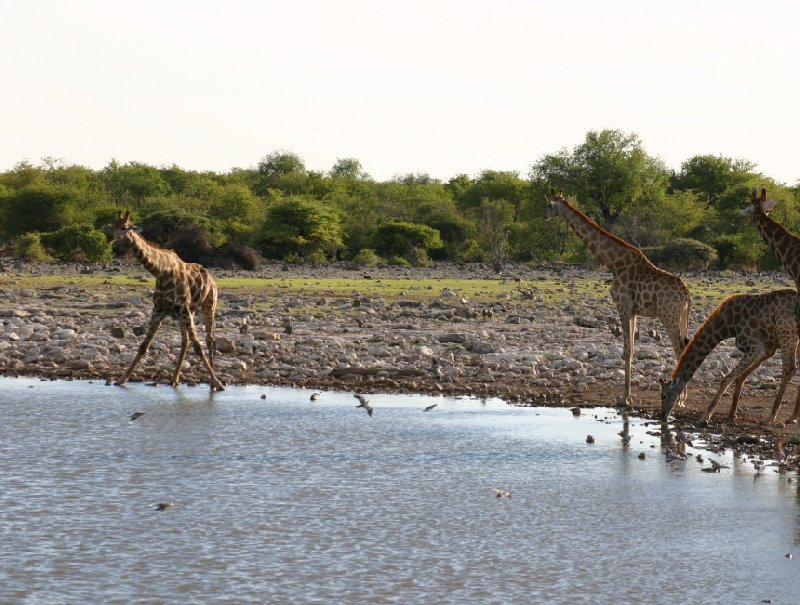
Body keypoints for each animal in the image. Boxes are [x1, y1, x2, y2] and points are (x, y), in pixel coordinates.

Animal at [109, 212, 225, 392]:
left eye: (124, 227)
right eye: (112, 225)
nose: (109, 238)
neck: (161, 272)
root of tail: (211, 279)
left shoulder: (182, 311)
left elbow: (198, 347)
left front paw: (218, 383)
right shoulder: (159, 311)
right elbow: (144, 346)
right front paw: (122, 379)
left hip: (207, 306)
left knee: (209, 340)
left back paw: (212, 382)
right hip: (187, 314)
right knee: (185, 342)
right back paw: (174, 379)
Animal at [548, 189, 692, 406]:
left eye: (549, 205)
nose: (545, 215)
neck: (614, 263)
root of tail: (686, 295)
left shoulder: (622, 306)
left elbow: (626, 350)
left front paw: (623, 398)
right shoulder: (633, 311)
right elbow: (631, 349)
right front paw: (626, 395)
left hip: (669, 316)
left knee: (679, 349)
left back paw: (681, 398)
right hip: (681, 318)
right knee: (685, 347)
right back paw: (683, 396)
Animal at [660, 290, 800, 422]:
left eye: (664, 395)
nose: (663, 416)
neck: (727, 325)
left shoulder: (756, 347)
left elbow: (726, 378)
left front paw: (706, 416)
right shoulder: (768, 347)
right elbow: (740, 376)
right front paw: (732, 412)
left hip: (786, 335)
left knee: (790, 369)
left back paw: (770, 417)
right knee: (793, 369)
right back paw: (792, 416)